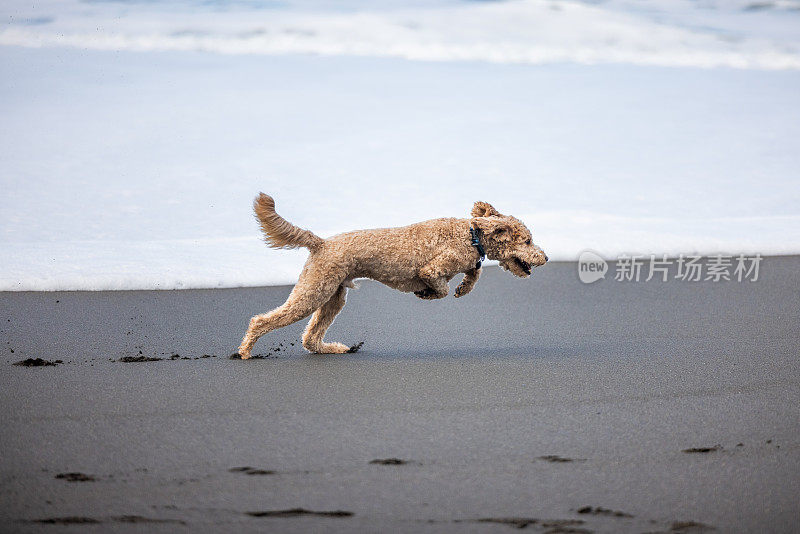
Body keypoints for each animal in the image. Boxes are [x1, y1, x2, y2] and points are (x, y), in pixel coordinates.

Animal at [238, 194, 548, 360]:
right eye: (529, 241)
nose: (545, 257)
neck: (471, 235)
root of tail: (321, 242)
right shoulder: (432, 269)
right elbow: (440, 287)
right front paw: (428, 293)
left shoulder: (467, 261)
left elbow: (474, 272)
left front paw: (464, 287)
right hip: (314, 291)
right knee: (262, 320)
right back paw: (245, 351)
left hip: (333, 295)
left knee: (311, 337)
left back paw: (331, 348)